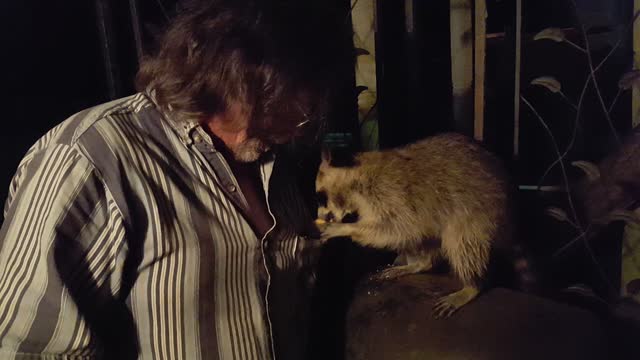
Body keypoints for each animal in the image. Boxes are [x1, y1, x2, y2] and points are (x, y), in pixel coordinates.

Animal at [316, 133, 520, 318]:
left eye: (320, 196)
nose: (321, 216)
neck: (358, 173)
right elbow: (403, 234)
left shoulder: (392, 193)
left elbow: (399, 228)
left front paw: (346, 229)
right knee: (423, 242)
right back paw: (420, 264)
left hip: (478, 213)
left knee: (460, 241)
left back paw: (472, 285)